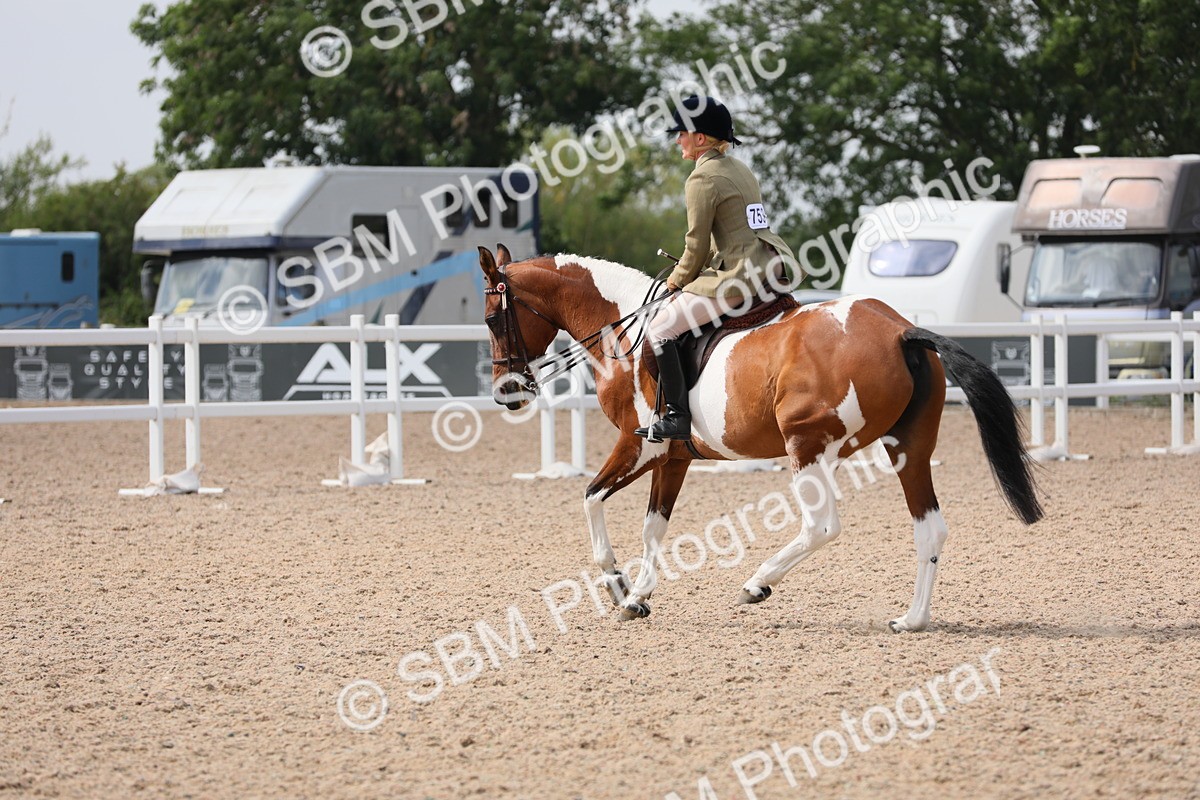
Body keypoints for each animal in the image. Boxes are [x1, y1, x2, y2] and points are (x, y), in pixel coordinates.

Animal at [478, 244, 1043, 632]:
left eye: (490, 319)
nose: (506, 393)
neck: (623, 331)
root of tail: (900, 329)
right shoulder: (674, 458)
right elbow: (653, 527)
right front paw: (638, 596)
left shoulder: (641, 445)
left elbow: (591, 497)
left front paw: (617, 585)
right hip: (908, 448)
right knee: (929, 528)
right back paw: (913, 619)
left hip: (807, 446)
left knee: (822, 526)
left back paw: (757, 583)